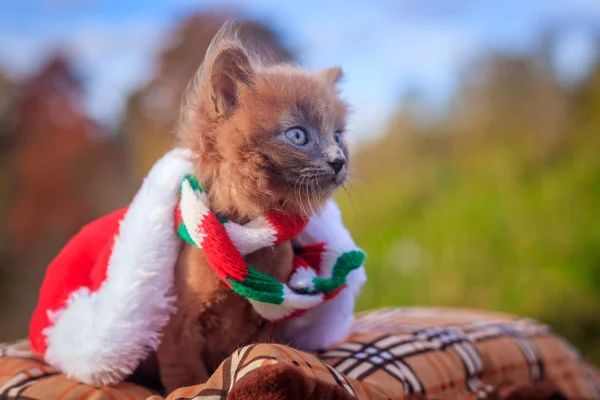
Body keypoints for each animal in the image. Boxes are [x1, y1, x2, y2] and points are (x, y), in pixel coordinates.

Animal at [157, 25, 350, 394]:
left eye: (337, 136)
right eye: (297, 136)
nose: (339, 160)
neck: (249, 236)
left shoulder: (266, 325)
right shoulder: (177, 331)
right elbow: (187, 380)